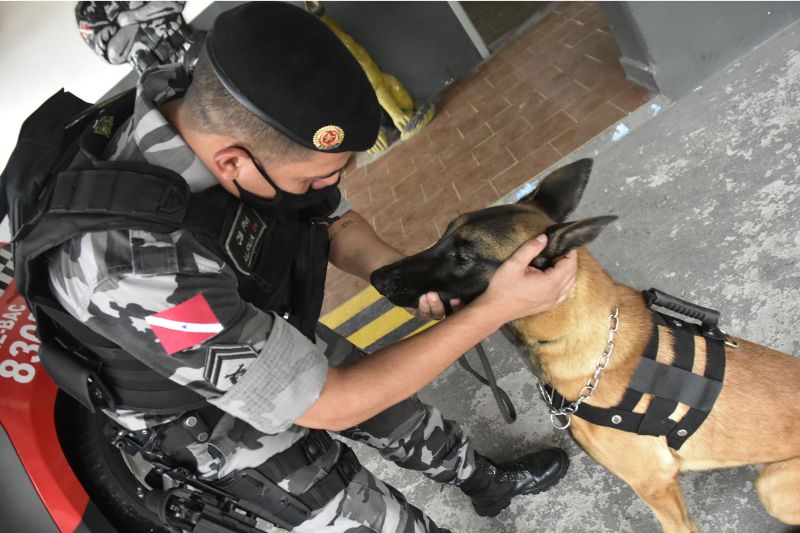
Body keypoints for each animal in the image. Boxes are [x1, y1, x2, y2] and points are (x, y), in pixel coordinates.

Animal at [370, 160, 800, 532]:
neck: (589, 341)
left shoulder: (656, 485)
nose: (377, 277)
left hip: (771, 484)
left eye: (462, 256)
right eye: (442, 235)